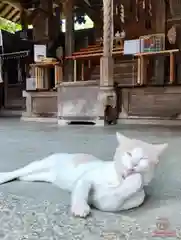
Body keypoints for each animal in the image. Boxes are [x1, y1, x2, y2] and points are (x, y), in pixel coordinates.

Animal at [0, 132, 167, 218]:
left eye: (143, 159)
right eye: (129, 153)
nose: (133, 164)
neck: (117, 180)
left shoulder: (109, 203)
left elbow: (114, 197)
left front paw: (135, 179)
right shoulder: (87, 177)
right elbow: (81, 190)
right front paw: (80, 208)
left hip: (44, 176)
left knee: (26, 176)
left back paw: (21, 178)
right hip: (42, 164)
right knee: (20, 171)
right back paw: (4, 176)